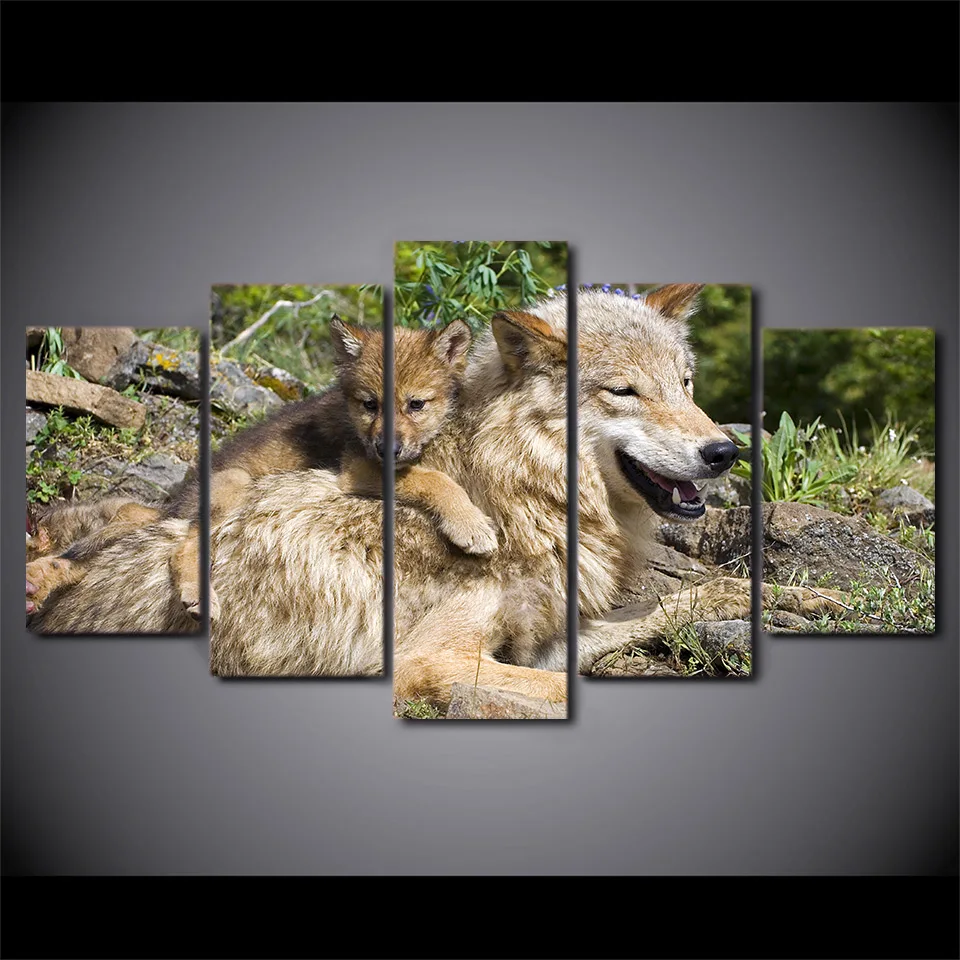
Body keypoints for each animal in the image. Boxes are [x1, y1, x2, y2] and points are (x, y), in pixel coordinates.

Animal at [26, 316, 497, 623]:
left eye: (416, 404)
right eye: (370, 404)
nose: (387, 448)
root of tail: (180, 501)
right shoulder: (357, 468)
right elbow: (435, 478)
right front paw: (471, 525)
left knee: (124, 524)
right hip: (233, 486)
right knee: (180, 545)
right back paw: (197, 596)